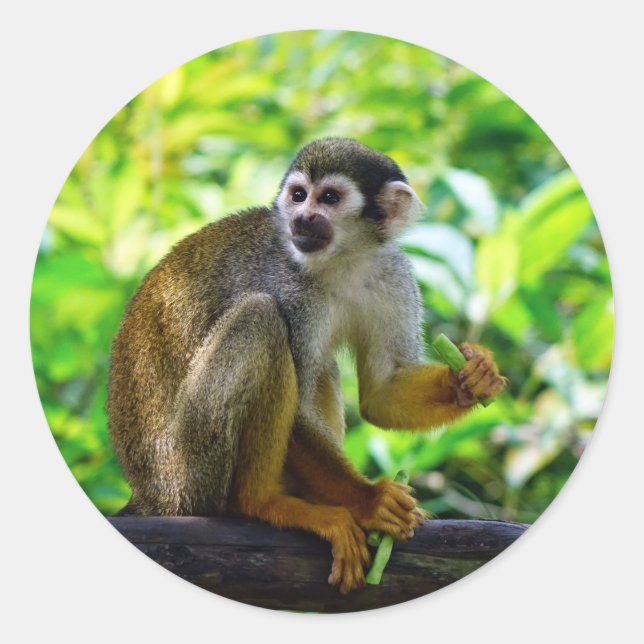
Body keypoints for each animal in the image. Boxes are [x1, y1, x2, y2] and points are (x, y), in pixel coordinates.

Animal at [108, 137, 506, 594]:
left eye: (329, 198)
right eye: (299, 195)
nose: (302, 217)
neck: (341, 261)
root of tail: (148, 494)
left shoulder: (391, 274)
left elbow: (382, 394)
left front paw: (472, 377)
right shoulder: (289, 287)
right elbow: (297, 413)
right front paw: (370, 501)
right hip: (189, 471)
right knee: (262, 318)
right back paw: (263, 502)